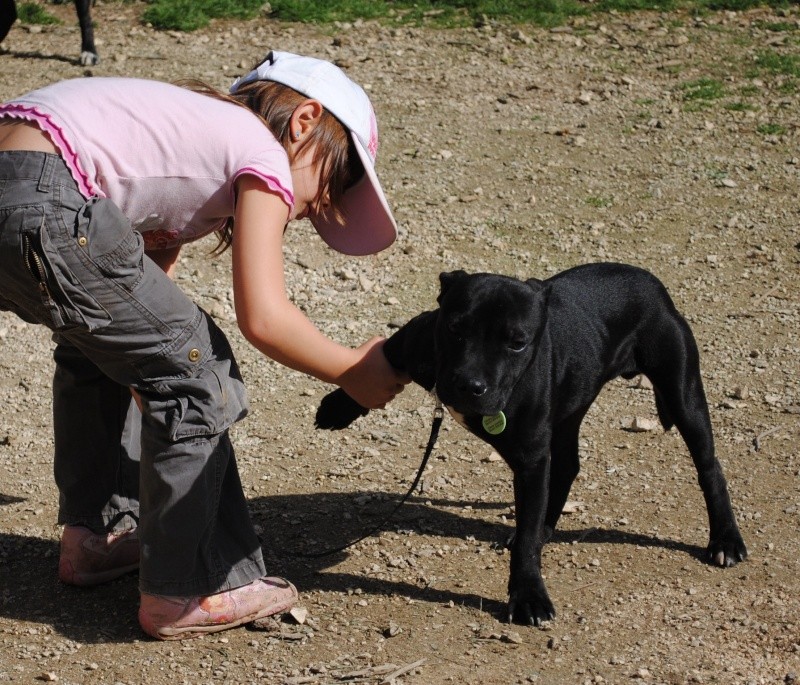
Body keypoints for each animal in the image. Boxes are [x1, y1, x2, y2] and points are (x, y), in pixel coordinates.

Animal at [316, 262, 748, 624]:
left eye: (517, 343)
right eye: (455, 328)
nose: (469, 384)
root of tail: (650, 282)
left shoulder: (530, 460)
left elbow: (525, 541)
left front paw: (528, 597)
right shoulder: (414, 340)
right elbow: (378, 359)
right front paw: (338, 407)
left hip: (682, 393)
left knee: (709, 466)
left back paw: (725, 540)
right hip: (571, 408)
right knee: (568, 467)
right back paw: (546, 527)